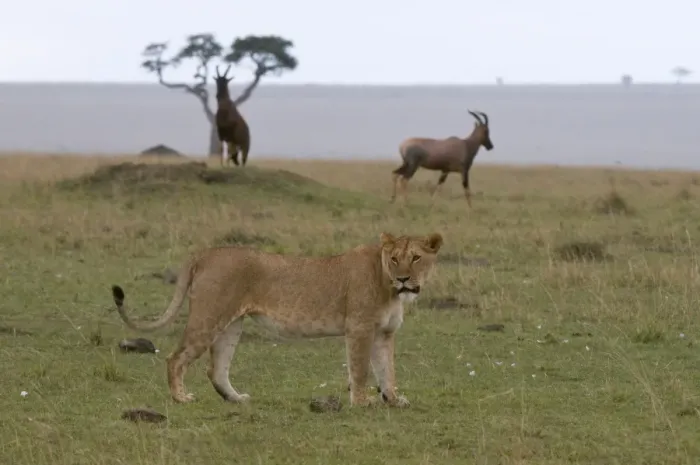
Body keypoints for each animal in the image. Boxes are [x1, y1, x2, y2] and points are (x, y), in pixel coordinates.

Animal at [110, 231, 443, 408]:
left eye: (415, 257)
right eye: (395, 258)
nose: (403, 279)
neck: (389, 287)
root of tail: (206, 253)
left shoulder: (383, 333)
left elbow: (387, 371)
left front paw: (394, 400)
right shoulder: (359, 328)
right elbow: (361, 371)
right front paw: (362, 403)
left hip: (231, 324)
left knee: (216, 369)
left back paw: (236, 399)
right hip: (209, 316)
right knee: (175, 358)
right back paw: (181, 398)